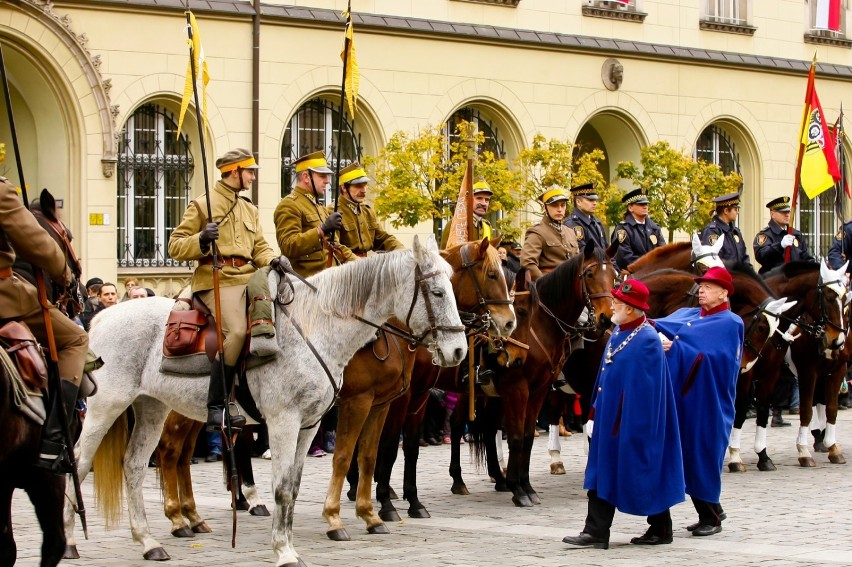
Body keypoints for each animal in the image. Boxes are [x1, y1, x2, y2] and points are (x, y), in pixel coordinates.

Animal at [63, 235, 470, 567]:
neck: (315, 327)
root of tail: (100, 319)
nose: (458, 350)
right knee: (80, 463)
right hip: (105, 408)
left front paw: (291, 543)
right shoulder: (286, 421)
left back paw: (149, 542)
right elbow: (283, 486)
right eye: (437, 293)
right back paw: (70, 542)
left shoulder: (310, 425)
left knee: (134, 465)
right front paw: (285, 550)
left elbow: (294, 485)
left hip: (152, 407)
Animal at [322, 240, 516, 540]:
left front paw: (413, 501)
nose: (509, 323)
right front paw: (386, 504)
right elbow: (389, 446)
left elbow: (410, 447)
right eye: (493, 275)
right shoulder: (395, 399)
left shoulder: (419, 396)